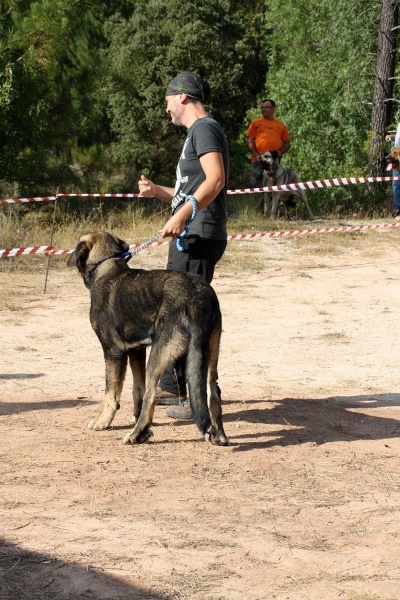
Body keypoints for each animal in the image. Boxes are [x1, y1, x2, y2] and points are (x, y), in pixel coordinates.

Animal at [67, 232, 230, 448]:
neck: (107, 266)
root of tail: (198, 297)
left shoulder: (113, 351)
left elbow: (111, 393)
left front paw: (103, 422)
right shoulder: (136, 351)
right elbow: (137, 389)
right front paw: (134, 417)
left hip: (158, 355)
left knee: (151, 395)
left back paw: (137, 435)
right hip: (209, 355)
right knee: (213, 394)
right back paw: (219, 436)